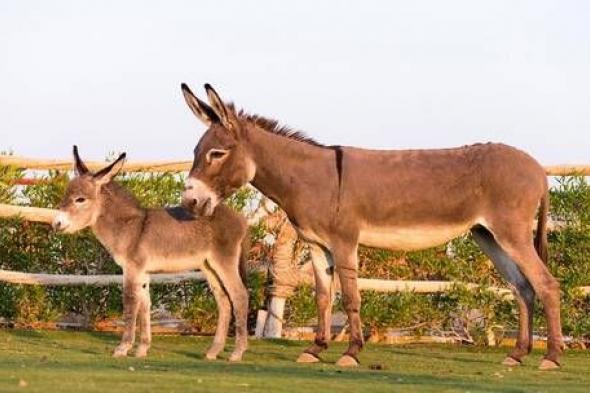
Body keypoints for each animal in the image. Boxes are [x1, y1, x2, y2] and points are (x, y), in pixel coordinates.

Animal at [53, 148, 250, 362]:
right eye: (66, 195)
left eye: (80, 199)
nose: (56, 224)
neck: (130, 227)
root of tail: (241, 219)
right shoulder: (143, 272)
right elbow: (145, 305)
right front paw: (142, 349)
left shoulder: (132, 269)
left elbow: (131, 303)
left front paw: (122, 348)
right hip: (208, 265)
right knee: (224, 301)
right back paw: (213, 351)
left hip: (224, 260)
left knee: (240, 296)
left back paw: (237, 353)